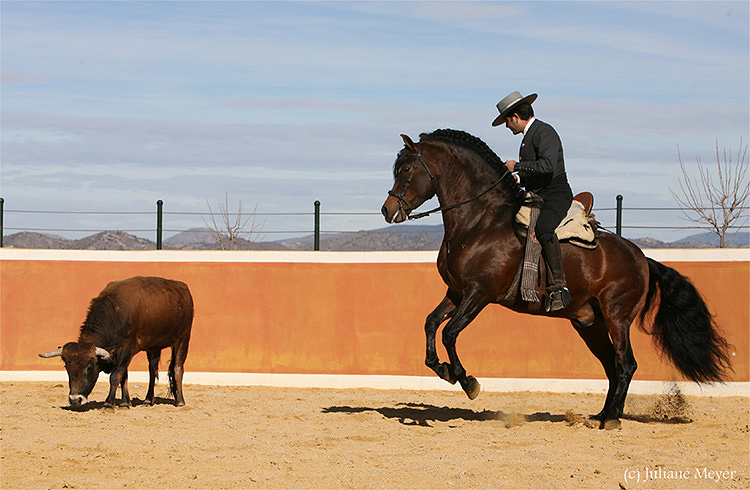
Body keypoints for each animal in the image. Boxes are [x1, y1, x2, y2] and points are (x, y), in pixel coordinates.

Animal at [40, 276, 195, 410]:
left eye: (89, 367)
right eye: (67, 367)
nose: (74, 399)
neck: (115, 311)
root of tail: (183, 288)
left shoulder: (126, 349)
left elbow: (115, 376)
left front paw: (109, 403)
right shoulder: (119, 353)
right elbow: (123, 376)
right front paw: (125, 403)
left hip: (183, 338)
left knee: (177, 368)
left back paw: (180, 401)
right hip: (153, 346)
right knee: (152, 370)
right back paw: (148, 400)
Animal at [382, 129, 736, 428]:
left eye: (406, 169)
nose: (387, 210)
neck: (480, 222)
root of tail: (641, 258)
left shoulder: (478, 295)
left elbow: (450, 333)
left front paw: (468, 381)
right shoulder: (456, 292)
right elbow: (431, 324)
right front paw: (442, 369)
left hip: (617, 317)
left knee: (626, 364)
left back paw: (613, 418)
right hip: (590, 325)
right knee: (612, 366)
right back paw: (601, 414)